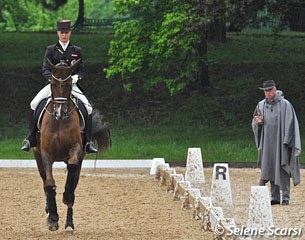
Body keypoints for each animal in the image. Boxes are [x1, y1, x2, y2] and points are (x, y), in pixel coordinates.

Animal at [33, 59, 83, 232]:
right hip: (38, 157)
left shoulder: (76, 150)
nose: (59, 113)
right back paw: (49, 211)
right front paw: (53, 218)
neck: (60, 122)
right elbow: (49, 184)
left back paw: (69, 223)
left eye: (68, 84)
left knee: (73, 185)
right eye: (53, 83)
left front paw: (66, 196)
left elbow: (72, 169)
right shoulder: (45, 154)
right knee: (44, 182)